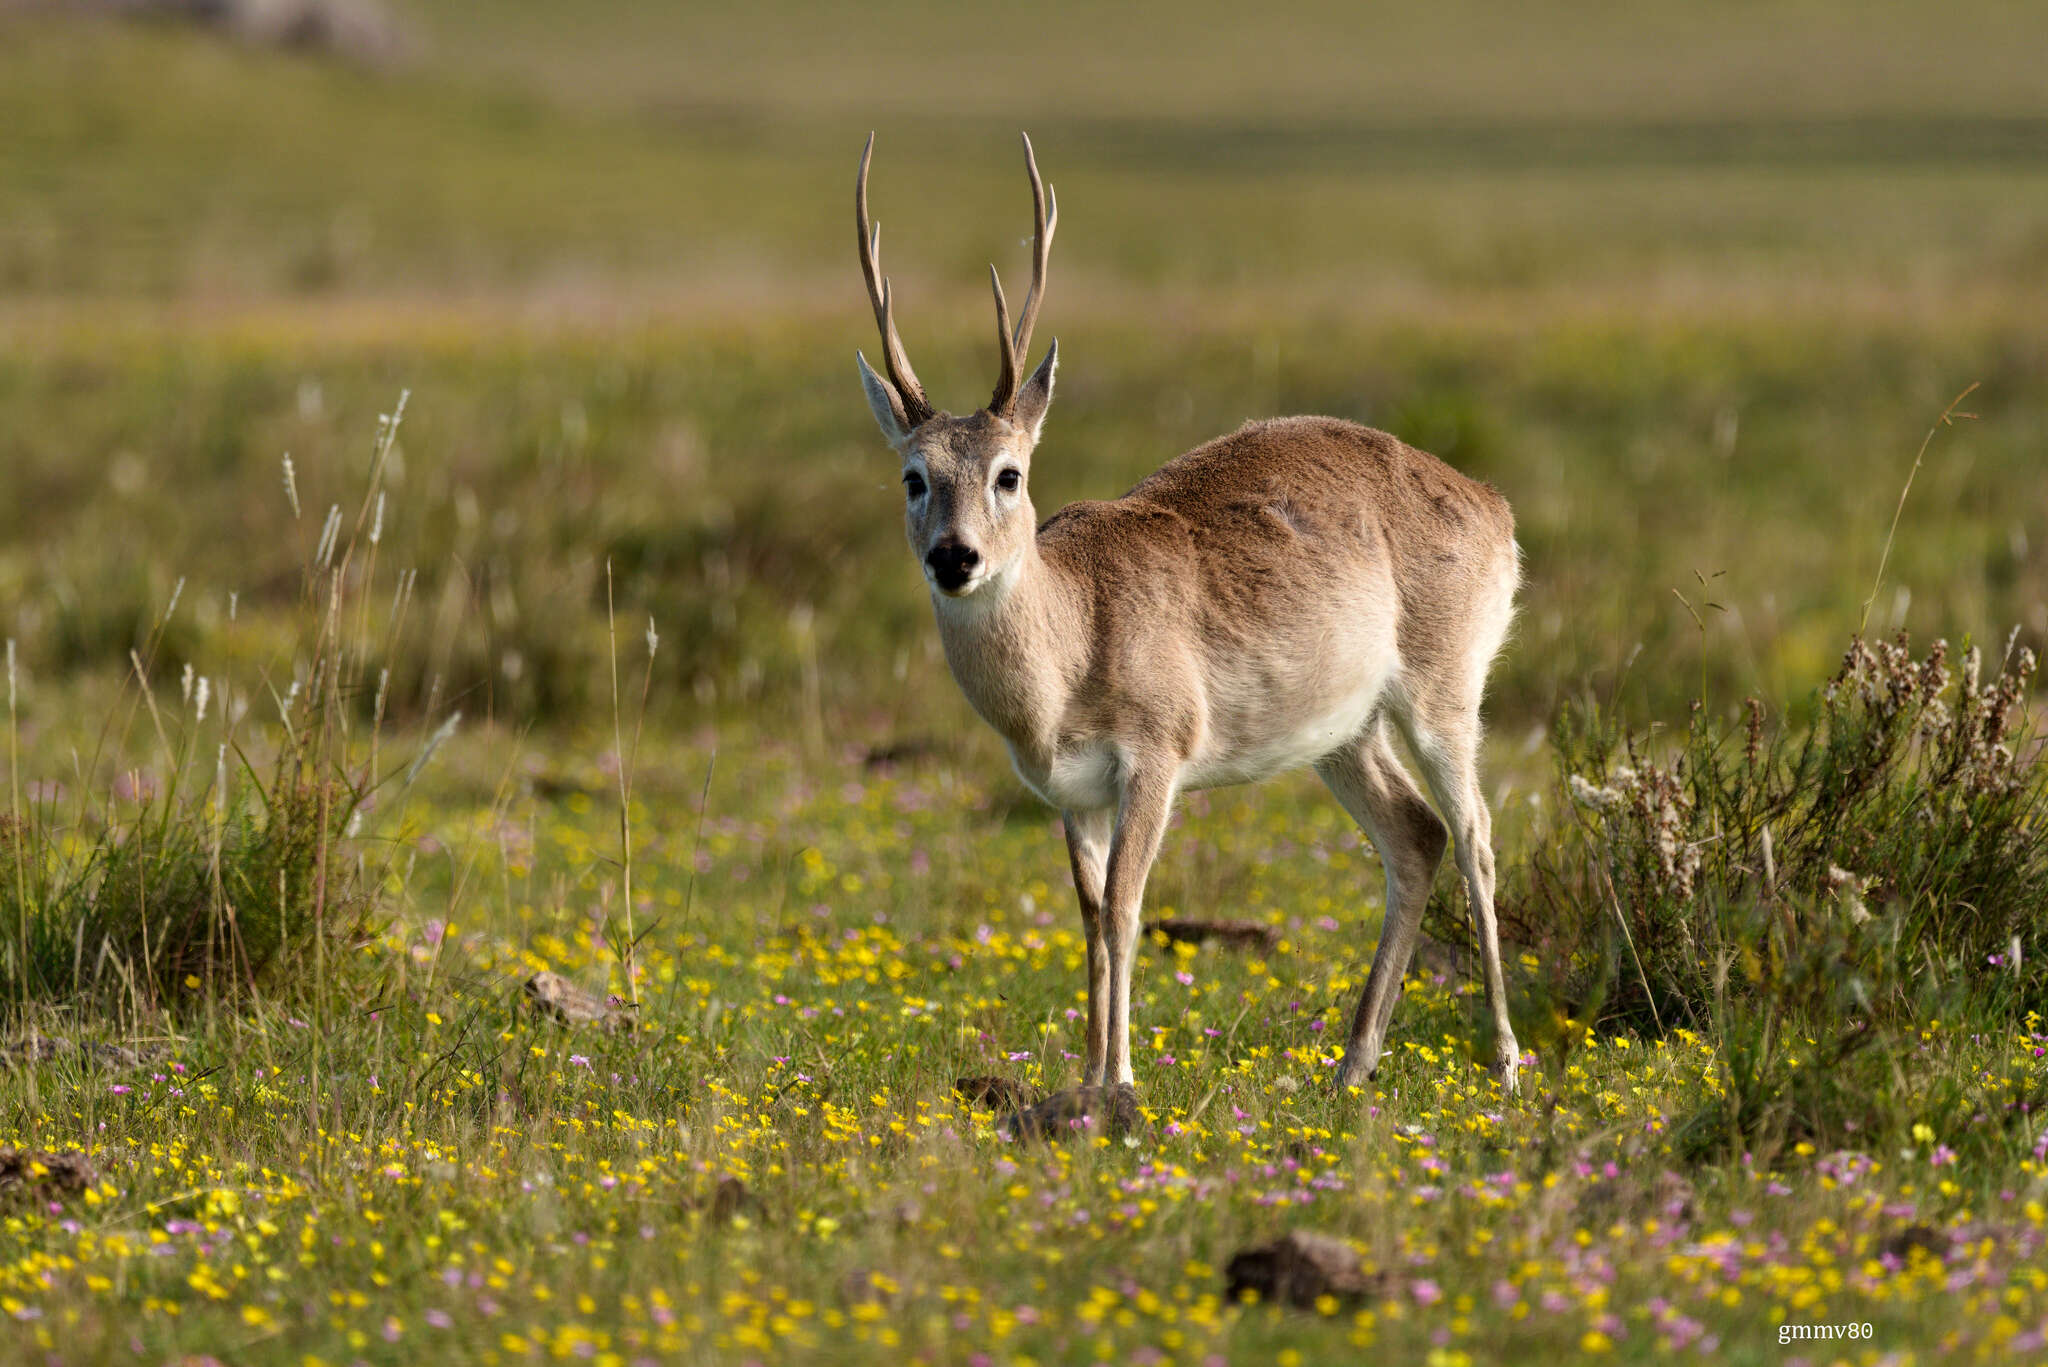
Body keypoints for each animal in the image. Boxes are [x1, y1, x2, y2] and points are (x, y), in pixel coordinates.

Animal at [847, 133, 1523, 1106]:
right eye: (913, 476)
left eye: (1009, 472)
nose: (954, 557)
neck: (1071, 642)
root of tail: (1493, 505)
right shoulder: (1071, 793)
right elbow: (1090, 917)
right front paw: (1086, 1073)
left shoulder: (1156, 759)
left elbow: (1129, 910)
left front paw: (1120, 1078)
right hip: (1344, 733)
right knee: (1415, 835)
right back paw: (1352, 1060)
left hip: (1443, 693)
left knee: (1474, 834)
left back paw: (1504, 1059)